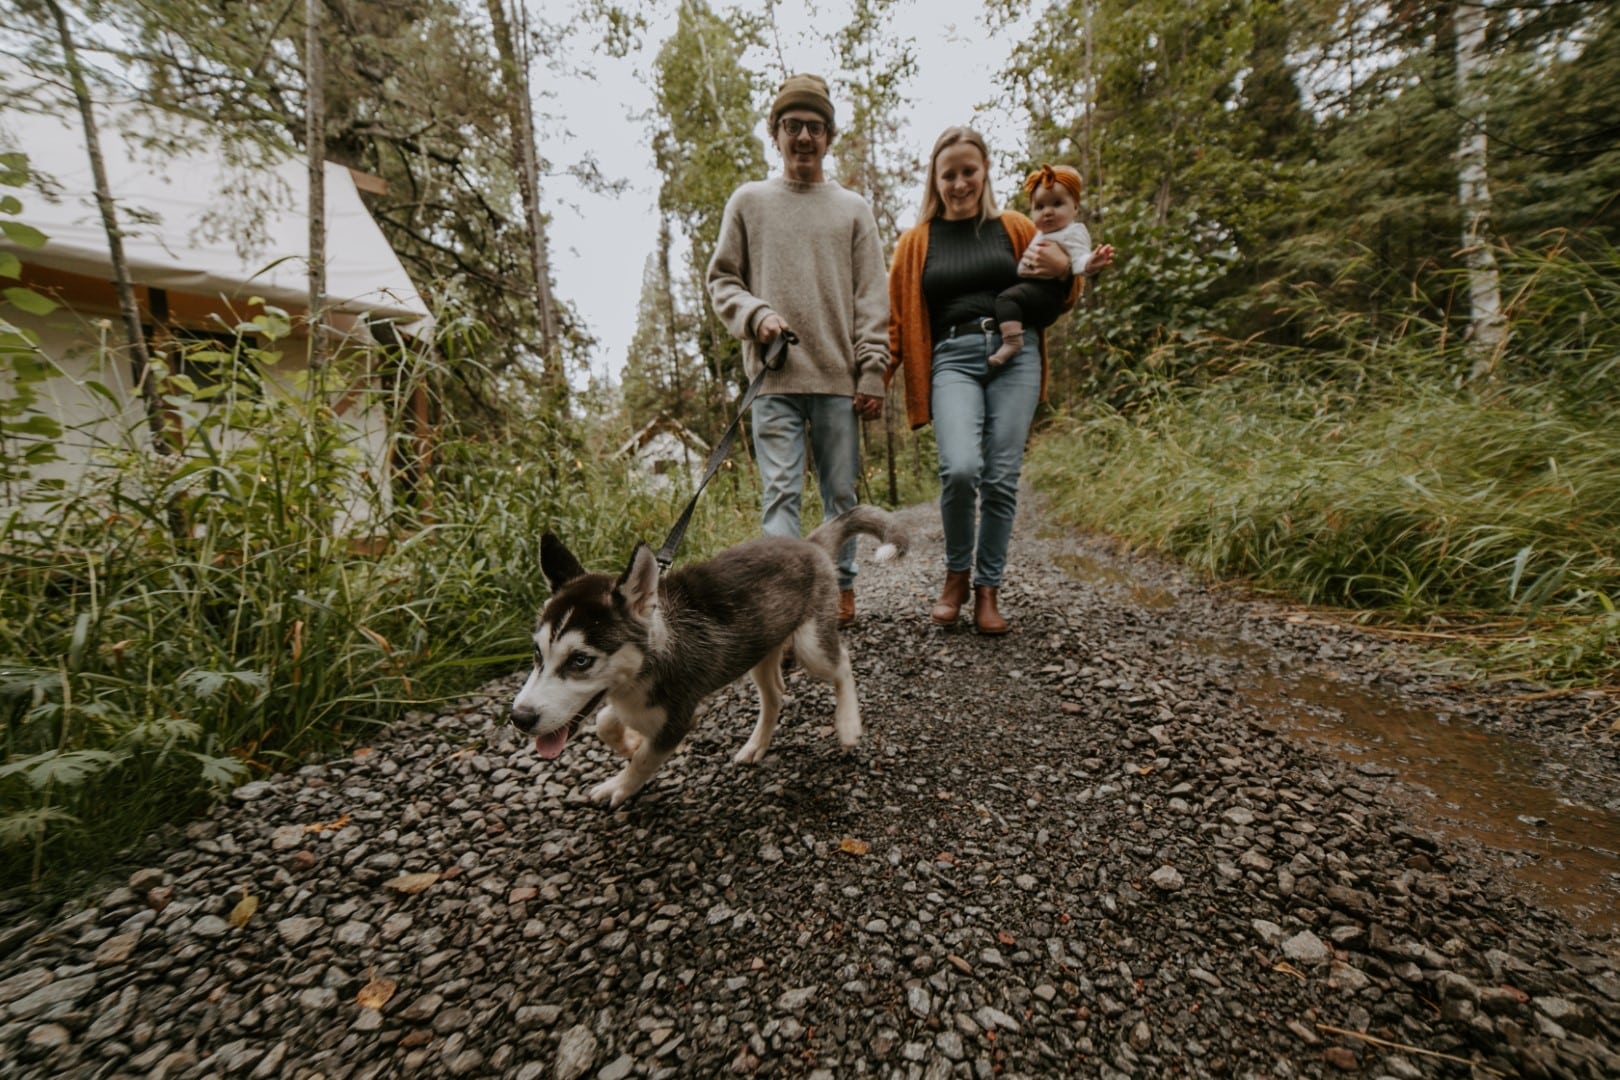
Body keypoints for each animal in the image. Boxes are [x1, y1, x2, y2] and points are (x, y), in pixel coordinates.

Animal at [508, 508, 907, 803]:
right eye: (537, 653)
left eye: (581, 660)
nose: (519, 718)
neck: (652, 658)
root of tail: (809, 544)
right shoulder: (629, 700)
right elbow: (607, 720)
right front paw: (628, 742)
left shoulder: (679, 718)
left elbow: (644, 760)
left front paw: (619, 786)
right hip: (759, 648)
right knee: (775, 695)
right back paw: (756, 745)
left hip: (811, 645)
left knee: (842, 664)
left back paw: (848, 724)